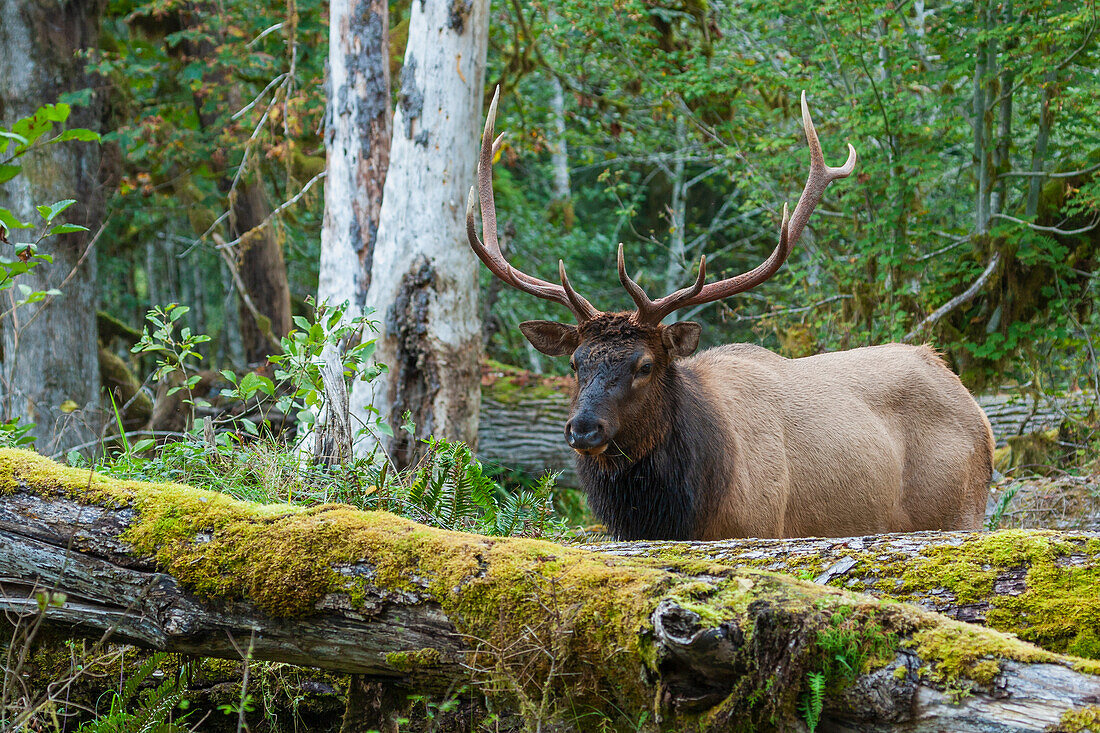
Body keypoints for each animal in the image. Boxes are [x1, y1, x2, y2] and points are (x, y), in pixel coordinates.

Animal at [462, 88, 990, 539]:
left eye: (645, 365)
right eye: (575, 363)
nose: (583, 427)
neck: (681, 513)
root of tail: (976, 411)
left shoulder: (761, 528)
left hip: (960, 512)